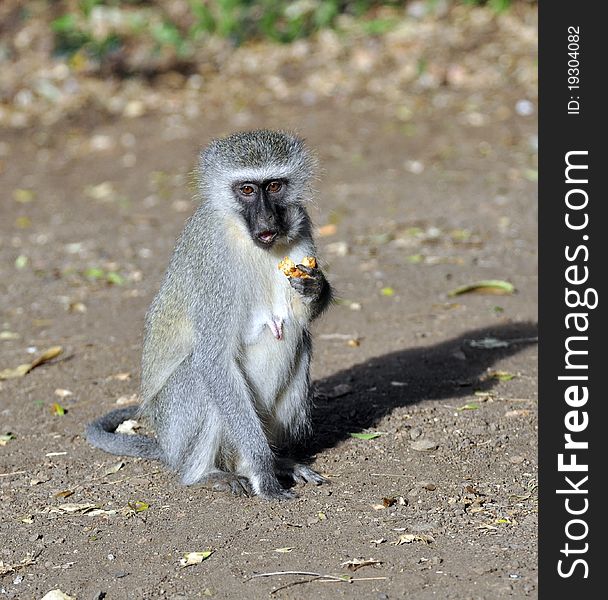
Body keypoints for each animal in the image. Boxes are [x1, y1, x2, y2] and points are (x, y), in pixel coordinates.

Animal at [85, 129, 332, 500]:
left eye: (274, 186)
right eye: (247, 189)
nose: (266, 221)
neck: (249, 240)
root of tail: (166, 447)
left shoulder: (301, 225)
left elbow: (300, 318)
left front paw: (315, 287)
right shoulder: (213, 264)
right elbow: (214, 360)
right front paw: (263, 471)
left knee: (298, 340)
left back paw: (280, 461)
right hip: (176, 427)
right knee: (200, 377)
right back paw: (209, 474)